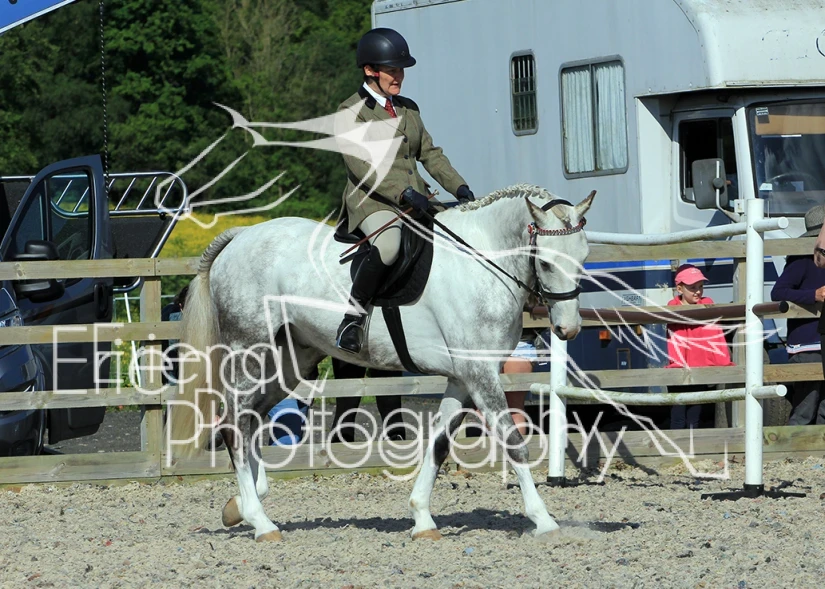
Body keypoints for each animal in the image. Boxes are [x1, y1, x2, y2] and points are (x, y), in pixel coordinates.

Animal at [168, 184, 594, 542]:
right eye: (546, 263)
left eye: (583, 258)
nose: (568, 329)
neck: (481, 261)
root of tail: (240, 237)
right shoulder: (480, 373)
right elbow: (513, 442)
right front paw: (544, 520)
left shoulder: (462, 378)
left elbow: (439, 445)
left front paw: (422, 518)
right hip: (249, 351)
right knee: (234, 425)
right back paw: (261, 522)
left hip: (288, 362)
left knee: (251, 419)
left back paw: (242, 505)